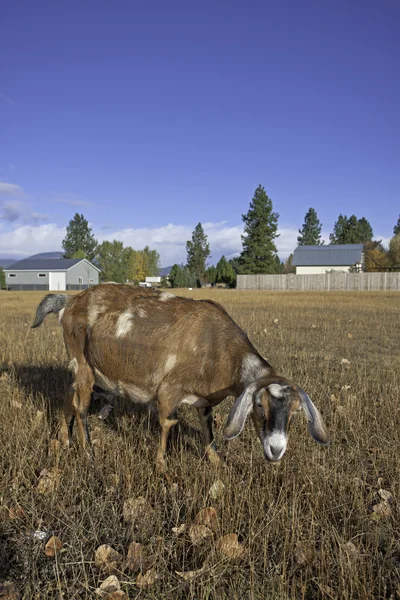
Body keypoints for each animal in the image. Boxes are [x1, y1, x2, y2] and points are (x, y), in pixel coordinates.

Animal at [32, 284, 328, 466]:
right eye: (259, 406)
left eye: (295, 412)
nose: (276, 450)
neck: (216, 346)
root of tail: (70, 300)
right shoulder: (168, 390)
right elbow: (168, 423)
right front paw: (161, 465)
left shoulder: (204, 399)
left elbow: (208, 429)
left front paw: (217, 461)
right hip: (83, 364)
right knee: (81, 408)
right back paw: (89, 452)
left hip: (80, 367)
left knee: (68, 398)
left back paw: (66, 440)